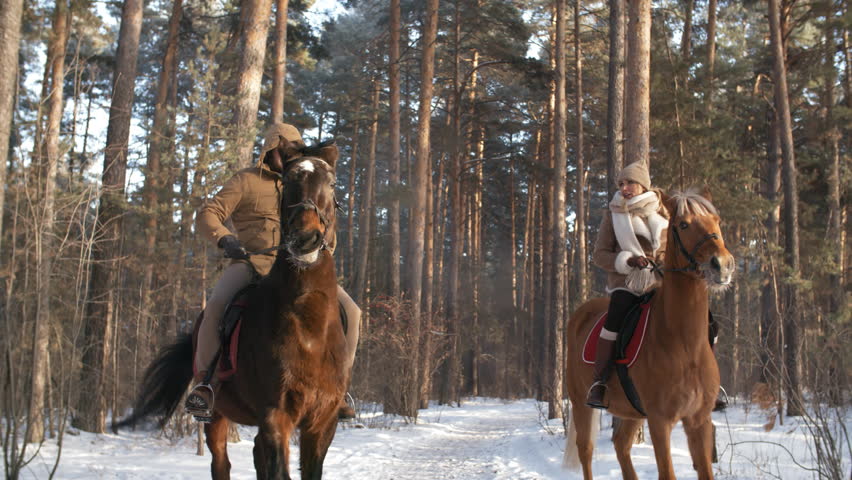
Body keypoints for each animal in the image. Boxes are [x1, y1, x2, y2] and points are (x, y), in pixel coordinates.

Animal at [115, 141, 348, 479]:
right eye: (288, 182)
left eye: (331, 183)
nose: (305, 239)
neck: (309, 329)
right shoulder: (275, 416)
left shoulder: (322, 423)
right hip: (216, 415)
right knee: (220, 463)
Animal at [562, 190, 735, 480]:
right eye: (683, 225)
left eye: (717, 220)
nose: (722, 265)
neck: (684, 344)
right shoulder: (659, 421)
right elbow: (667, 473)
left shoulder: (698, 420)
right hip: (580, 403)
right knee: (586, 451)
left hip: (631, 411)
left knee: (621, 445)